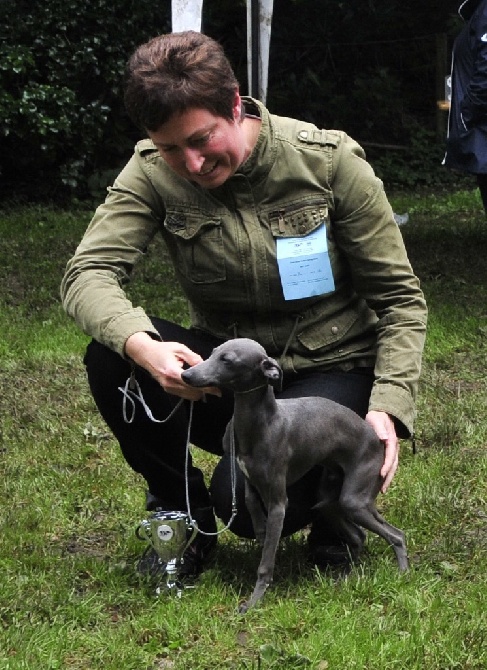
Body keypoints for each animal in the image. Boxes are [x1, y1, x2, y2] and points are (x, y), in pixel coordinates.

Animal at [181, 338, 410, 612]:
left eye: (227, 360)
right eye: (214, 352)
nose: (185, 375)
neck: (262, 423)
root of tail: (377, 439)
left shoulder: (279, 504)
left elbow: (266, 562)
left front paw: (254, 601)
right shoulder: (249, 480)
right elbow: (250, 503)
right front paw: (260, 530)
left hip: (355, 499)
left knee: (396, 535)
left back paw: (402, 574)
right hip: (329, 501)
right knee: (358, 535)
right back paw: (346, 577)